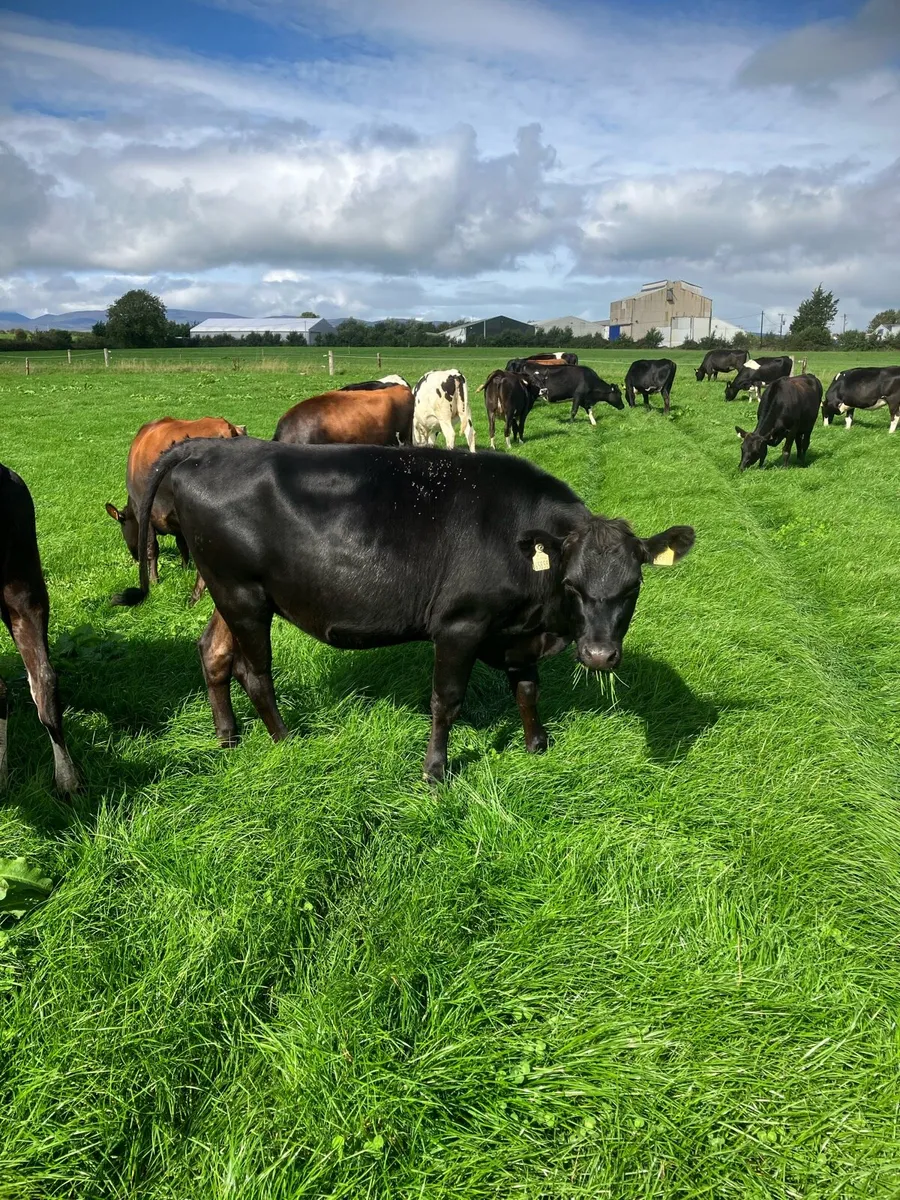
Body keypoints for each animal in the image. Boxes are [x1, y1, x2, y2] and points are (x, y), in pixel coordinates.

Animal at [106, 416, 246, 604]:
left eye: (123, 529)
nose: (135, 557)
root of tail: (226, 427)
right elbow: (182, 546)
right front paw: (184, 569)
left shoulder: (145, 513)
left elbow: (152, 548)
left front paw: (154, 581)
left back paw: (195, 597)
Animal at [115, 439, 695, 782]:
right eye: (573, 585)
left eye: (633, 587)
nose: (598, 655)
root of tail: (208, 446)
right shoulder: (460, 625)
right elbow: (446, 702)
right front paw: (435, 773)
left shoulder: (516, 632)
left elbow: (527, 689)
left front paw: (537, 746)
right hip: (243, 594)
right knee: (255, 673)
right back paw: (287, 742)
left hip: (229, 592)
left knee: (213, 652)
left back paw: (227, 736)